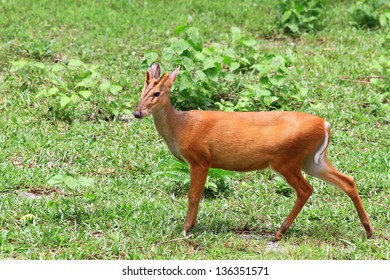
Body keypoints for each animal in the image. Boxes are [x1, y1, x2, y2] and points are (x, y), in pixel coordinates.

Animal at [133, 63, 372, 241]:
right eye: (141, 92)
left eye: (157, 93)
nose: (137, 113)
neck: (179, 127)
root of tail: (325, 124)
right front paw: (191, 226)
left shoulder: (200, 158)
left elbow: (193, 195)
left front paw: (186, 229)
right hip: (312, 160)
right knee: (347, 180)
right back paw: (368, 229)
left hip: (285, 160)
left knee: (306, 189)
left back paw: (279, 232)